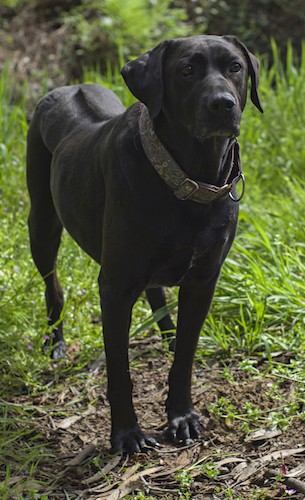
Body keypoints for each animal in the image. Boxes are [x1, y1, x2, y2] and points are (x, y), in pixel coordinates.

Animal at [26, 35, 262, 456]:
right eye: (186, 70)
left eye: (235, 67)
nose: (222, 104)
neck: (189, 177)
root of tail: (68, 86)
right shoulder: (115, 288)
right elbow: (119, 370)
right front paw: (127, 434)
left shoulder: (203, 280)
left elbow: (185, 355)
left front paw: (181, 416)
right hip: (42, 224)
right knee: (53, 286)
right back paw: (56, 343)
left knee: (158, 295)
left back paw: (166, 334)